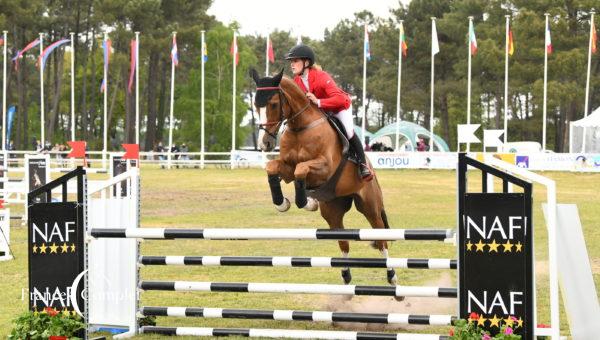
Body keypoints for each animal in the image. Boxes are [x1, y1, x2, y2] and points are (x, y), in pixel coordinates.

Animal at [251, 67, 400, 290]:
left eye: (274, 104)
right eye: (255, 105)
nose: (265, 143)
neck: (300, 127)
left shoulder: (324, 167)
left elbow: (301, 170)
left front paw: (305, 201)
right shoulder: (286, 167)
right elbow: (273, 168)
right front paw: (283, 202)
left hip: (370, 206)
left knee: (381, 239)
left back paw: (392, 276)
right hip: (333, 211)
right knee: (343, 242)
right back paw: (346, 275)